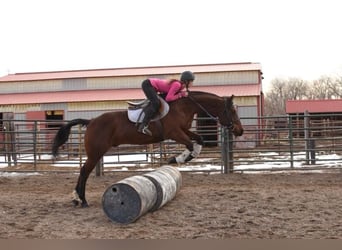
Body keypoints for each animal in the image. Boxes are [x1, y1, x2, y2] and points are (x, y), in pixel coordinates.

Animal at [51, 91, 243, 208]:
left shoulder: (184, 130)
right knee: (84, 171)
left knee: (84, 171)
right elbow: (189, 145)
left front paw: (184, 157)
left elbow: (199, 140)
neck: (184, 106)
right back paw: (81, 200)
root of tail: (91, 121)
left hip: (96, 153)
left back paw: (77, 199)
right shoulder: (174, 133)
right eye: (233, 112)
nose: (240, 131)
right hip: (96, 153)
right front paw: (177, 159)